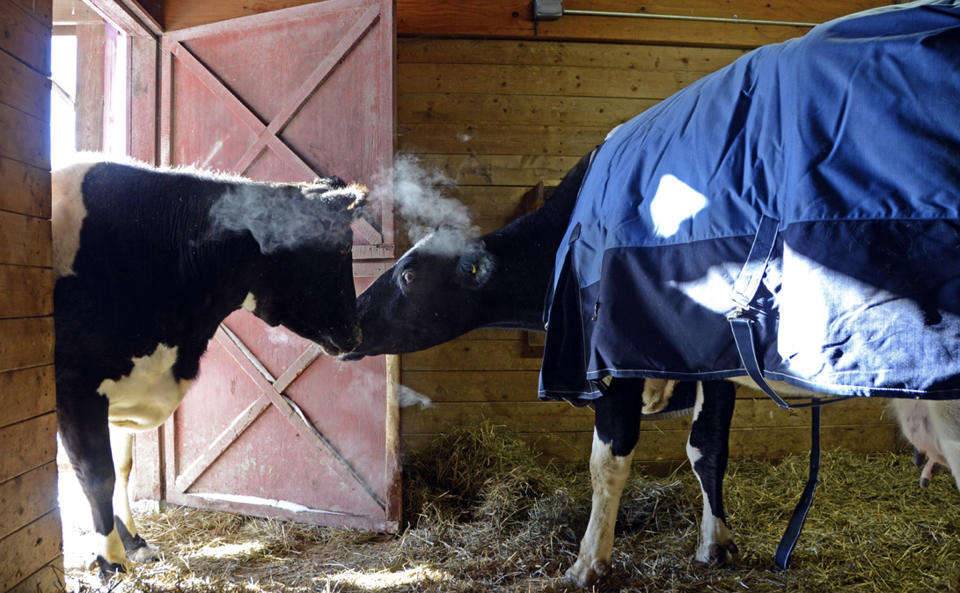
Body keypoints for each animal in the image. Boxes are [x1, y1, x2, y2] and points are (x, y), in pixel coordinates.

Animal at [53, 157, 368, 572]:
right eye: (341, 247)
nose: (357, 333)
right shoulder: (75, 387)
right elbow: (97, 474)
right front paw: (112, 562)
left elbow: (121, 468)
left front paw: (135, 543)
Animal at [342, 153, 740, 584]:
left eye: (409, 275)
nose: (348, 317)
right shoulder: (718, 369)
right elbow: (706, 448)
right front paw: (714, 545)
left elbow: (607, 464)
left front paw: (589, 562)